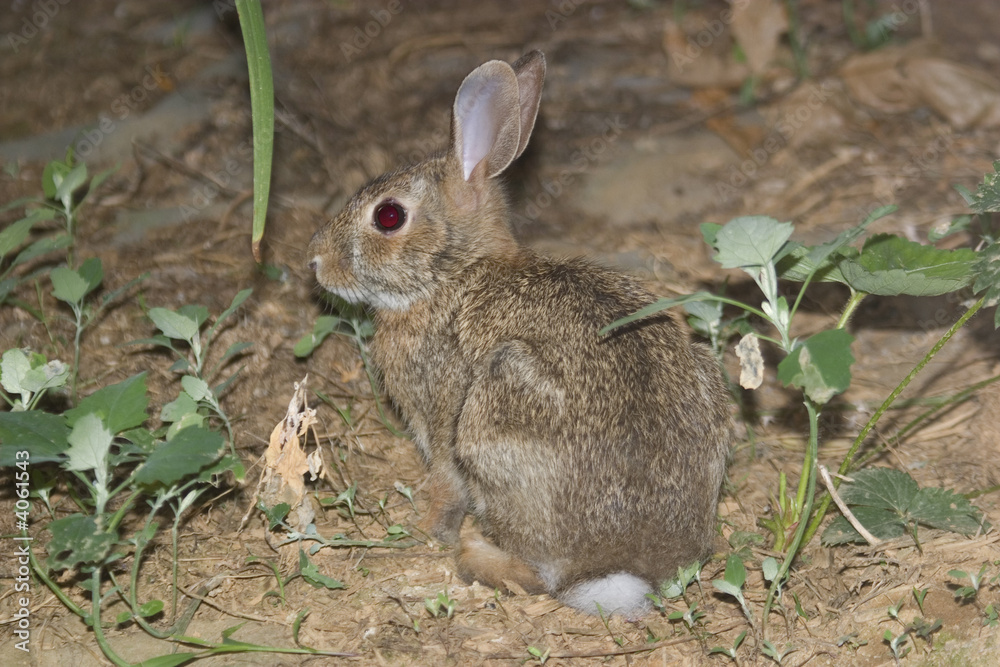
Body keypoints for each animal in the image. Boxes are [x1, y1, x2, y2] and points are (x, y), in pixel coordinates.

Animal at [306, 50, 733, 618]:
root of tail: (620, 564)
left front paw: (424, 531)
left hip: (492, 417)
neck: (452, 275)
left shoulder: (441, 421)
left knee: (541, 575)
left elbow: (445, 486)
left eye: (389, 216)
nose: (316, 262)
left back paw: (478, 553)